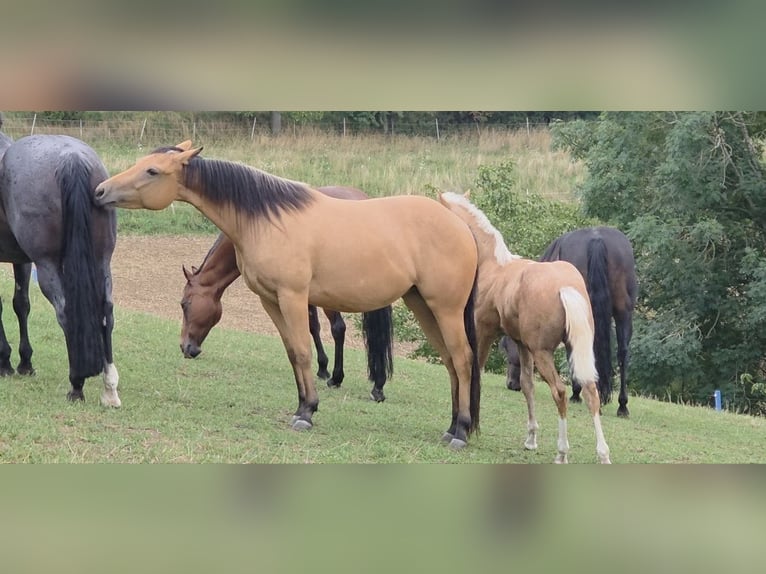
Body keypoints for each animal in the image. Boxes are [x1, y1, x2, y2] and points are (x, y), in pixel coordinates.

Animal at [0, 133, 121, 406]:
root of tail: (71, 158)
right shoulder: (22, 260)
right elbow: (21, 304)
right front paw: (24, 362)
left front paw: (5, 362)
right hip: (101, 261)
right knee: (106, 313)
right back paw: (109, 388)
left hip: (48, 265)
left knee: (65, 312)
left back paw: (76, 384)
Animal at [180, 185, 392, 402]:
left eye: (184, 304)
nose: (185, 347)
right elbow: (313, 327)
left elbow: (314, 327)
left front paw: (324, 369)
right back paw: (378, 385)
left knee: (338, 328)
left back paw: (338, 377)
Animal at [439, 192, 610, 463]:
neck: (494, 266)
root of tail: (564, 286)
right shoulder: (522, 345)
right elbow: (527, 386)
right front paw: (531, 439)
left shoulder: (484, 331)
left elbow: (476, 370)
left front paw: (463, 429)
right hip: (572, 350)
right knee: (591, 393)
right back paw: (603, 454)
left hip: (544, 354)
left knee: (560, 392)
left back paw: (562, 452)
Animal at [500, 226, 637, 417]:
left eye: (506, 347)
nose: (511, 384)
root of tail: (596, 238)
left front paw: (576, 393)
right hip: (624, 312)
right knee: (622, 352)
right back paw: (622, 405)